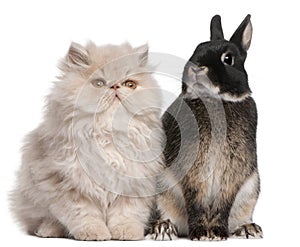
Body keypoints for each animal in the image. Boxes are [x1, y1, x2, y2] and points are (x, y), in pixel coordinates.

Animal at [10, 41, 164, 240]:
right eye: (99, 83)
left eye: (129, 84)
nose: (115, 86)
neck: (107, 134)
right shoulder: (67, 184)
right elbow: (84, 215)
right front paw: (95, 234)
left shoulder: (133, 185)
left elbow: (126, 214)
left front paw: (126, 233)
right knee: (45, 220)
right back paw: (48, 231)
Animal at [148, 14, 262, 240]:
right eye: (197, 48)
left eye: (228, 58)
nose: (196, 68)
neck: (214, 100)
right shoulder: (192, 168)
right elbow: (196, 200)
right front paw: (201, 233)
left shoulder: (234, 169)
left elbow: (223, 203)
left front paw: (216, 233)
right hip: (162, 190)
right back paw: (163, 228)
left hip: (251, 191)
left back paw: (248, 228)